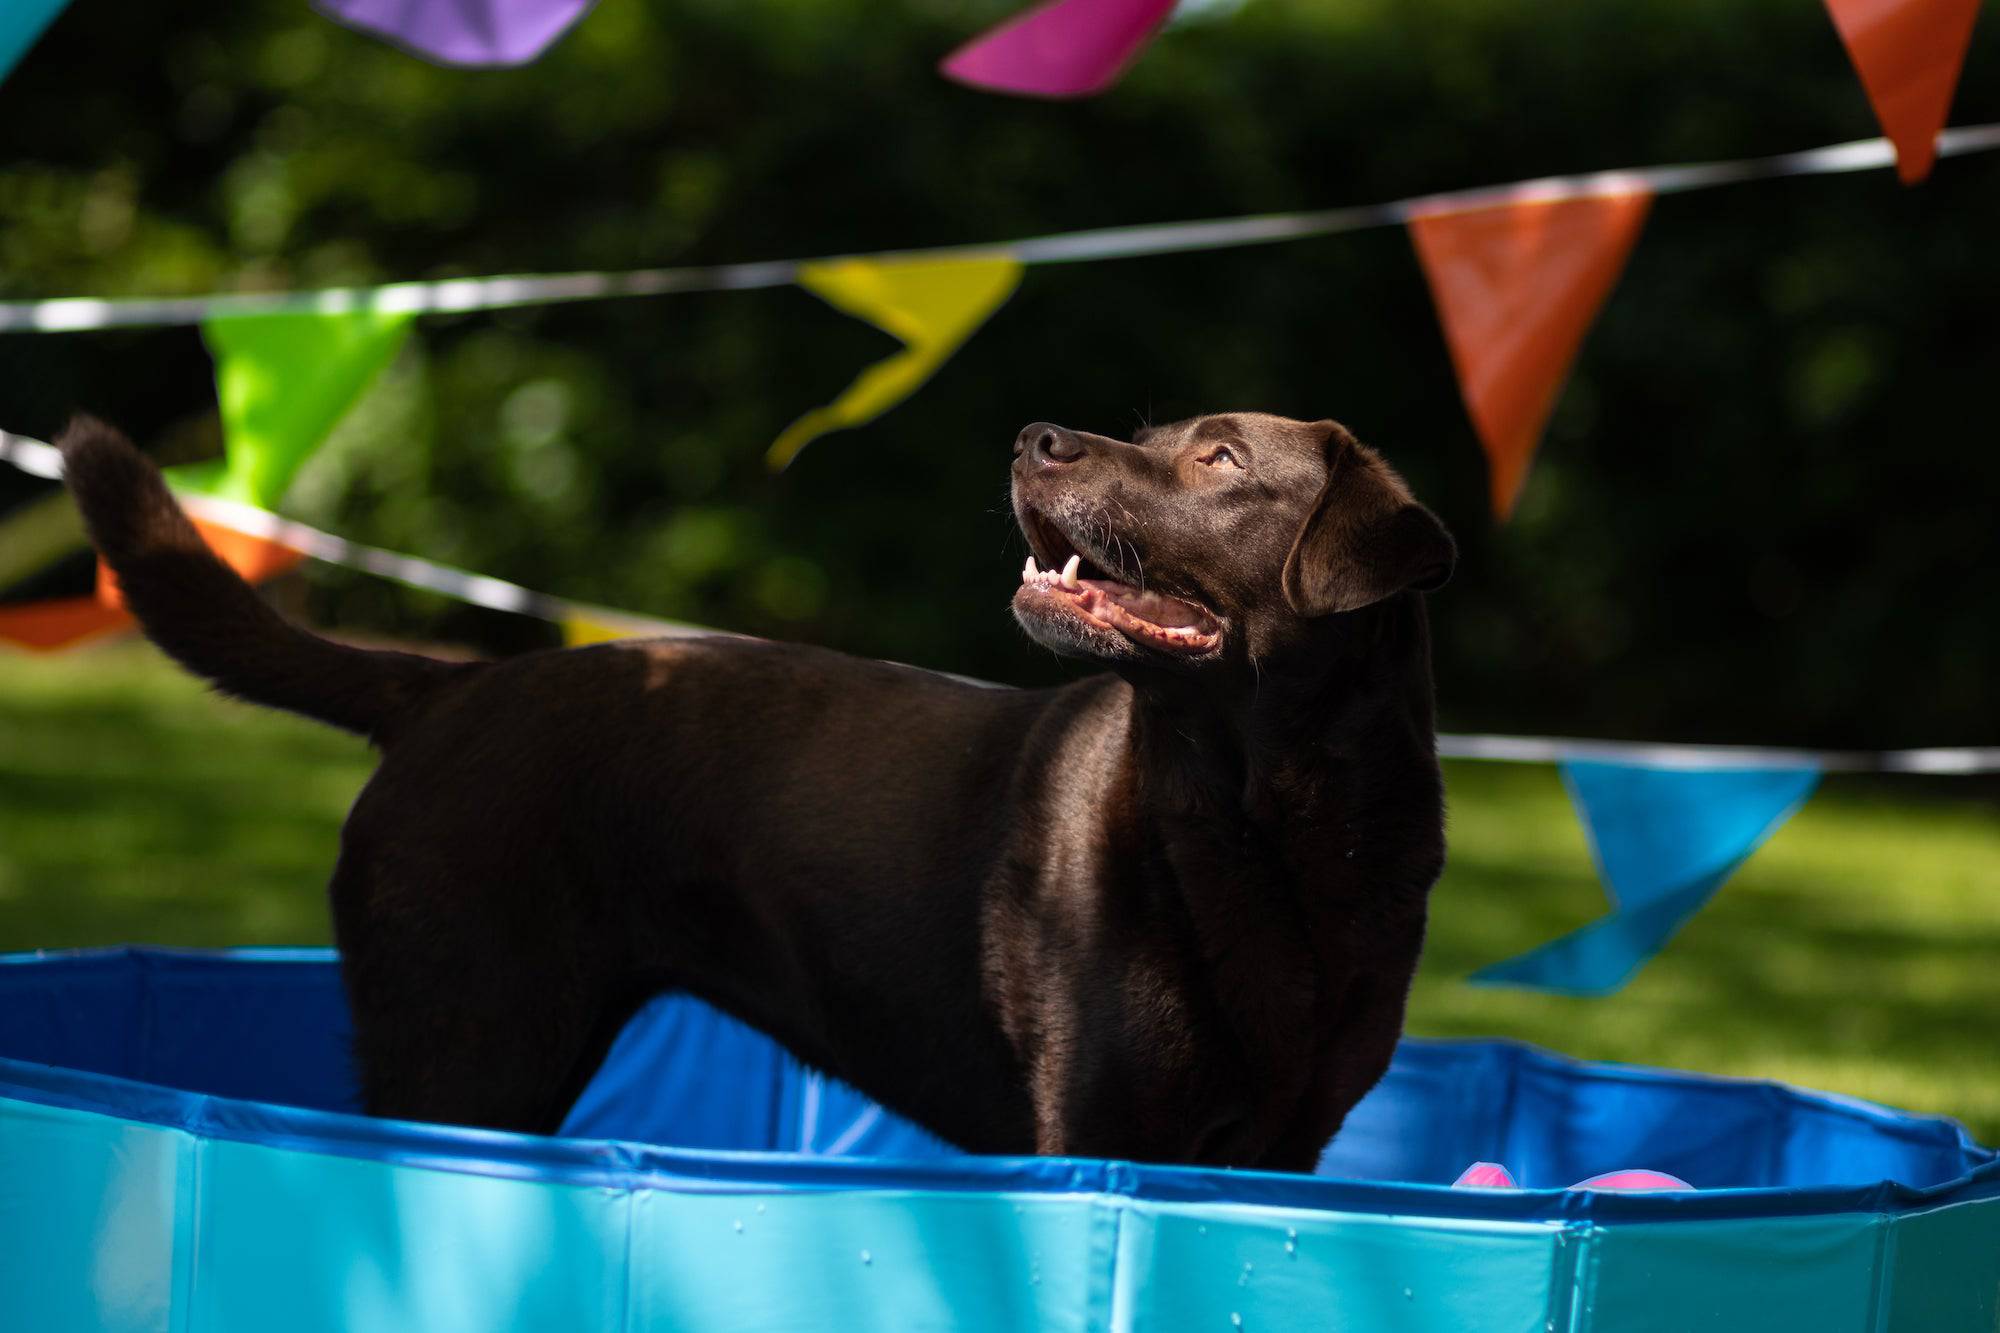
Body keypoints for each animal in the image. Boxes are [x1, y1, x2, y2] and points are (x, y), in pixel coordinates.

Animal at [62, 410, 1456, 1168]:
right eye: (1152, 434)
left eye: (1217, 457)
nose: (1034, 437)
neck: (1260, 822)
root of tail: (448, 686)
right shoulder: (1099, 1129)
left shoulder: (1291, 1142)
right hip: (467, 1036)